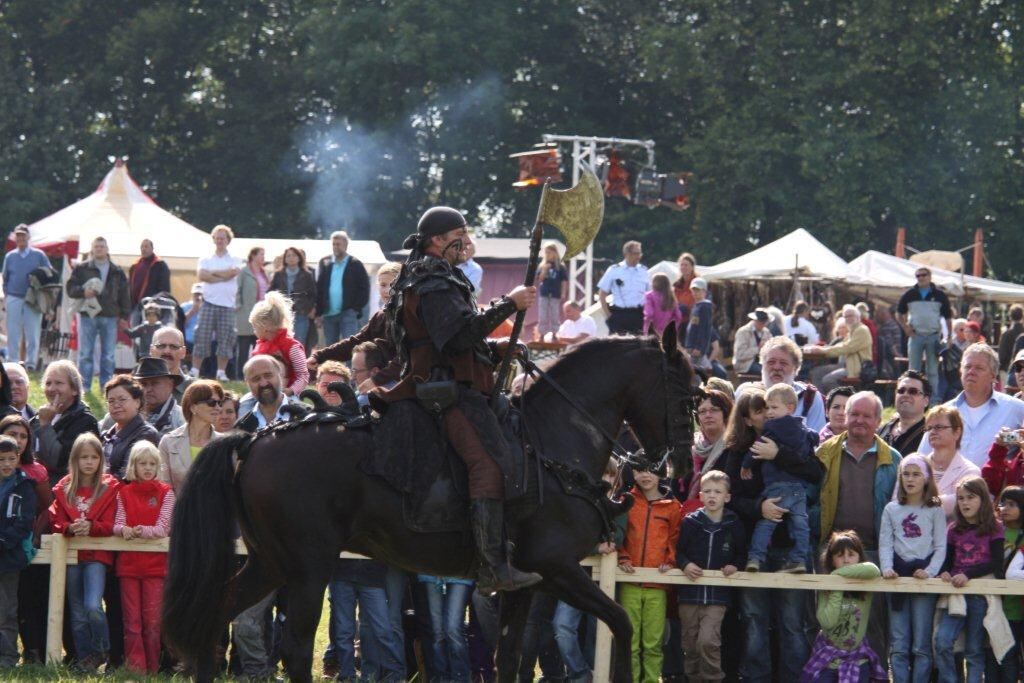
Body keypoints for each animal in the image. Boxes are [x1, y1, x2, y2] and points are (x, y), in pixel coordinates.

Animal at [165, 325, 696, 679]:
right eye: (684, 391)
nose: (680, 470)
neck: (552, 442)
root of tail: (255, 439)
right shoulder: (559, 569)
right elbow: (621, 624)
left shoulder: (528, 583)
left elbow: (509, 657)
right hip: (308, 567)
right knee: (292, 646)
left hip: (272, 562)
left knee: (217, 611)